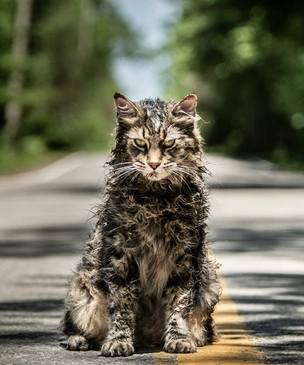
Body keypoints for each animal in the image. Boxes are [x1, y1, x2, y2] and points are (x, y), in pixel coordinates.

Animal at [60, 91, 221, 356]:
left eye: (168, 144)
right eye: (140, 144)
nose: (154, 164)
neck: (155, 200)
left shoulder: (185, 257)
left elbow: (179, 303)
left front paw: (179, 338)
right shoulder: (120, 256)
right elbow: (122, 305)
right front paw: (118, 341)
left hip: (209, 282)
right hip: (83, 288)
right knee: (74, 325)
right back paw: (79, 340)